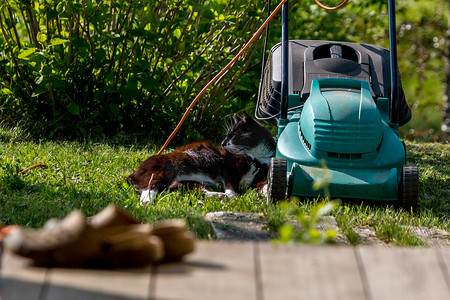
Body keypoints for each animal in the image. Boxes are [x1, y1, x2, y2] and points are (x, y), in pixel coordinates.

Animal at [125, 111, 274, 205]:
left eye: (232, 135)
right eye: (227, 135)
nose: (222, 143)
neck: (257, 156)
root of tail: (134, 172)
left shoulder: (259, 175)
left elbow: (262, 183)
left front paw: (268, 192)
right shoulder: (229, 166)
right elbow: (231, 184)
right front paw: (234, 197)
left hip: (188, 182)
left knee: (189, 189)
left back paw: (219, 195)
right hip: (163, 170)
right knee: (149, 188)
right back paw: (147, 202)